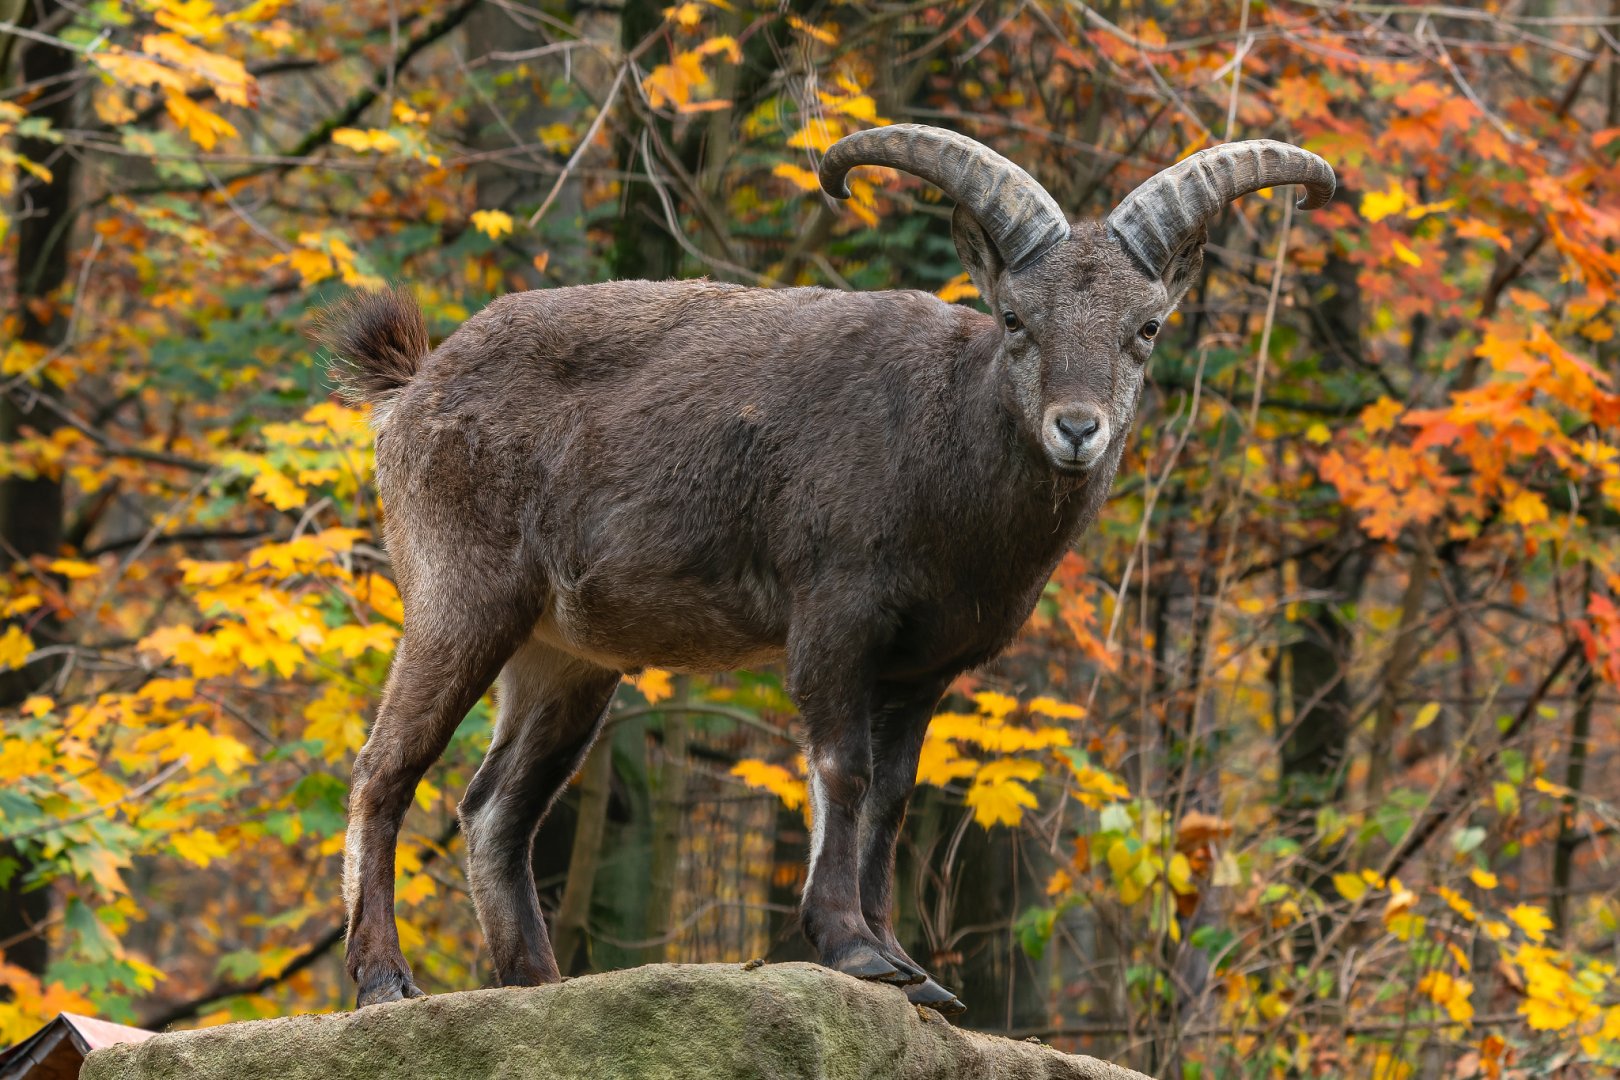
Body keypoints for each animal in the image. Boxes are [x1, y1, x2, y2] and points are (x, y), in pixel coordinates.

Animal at [321, 124, 1334, 1014]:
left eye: (1148, 326)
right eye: (1015, 317)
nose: (1077, 429)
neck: (941, 453)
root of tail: (412, 391)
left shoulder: (924, 668)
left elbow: (891, 795)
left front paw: (908, 966)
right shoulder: (835, 620)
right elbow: (842, 771)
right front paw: (852, 948)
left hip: (566, 658)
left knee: (496, 807)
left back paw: (538, 987)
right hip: (462, 599)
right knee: (383, 771)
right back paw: (384, 982)